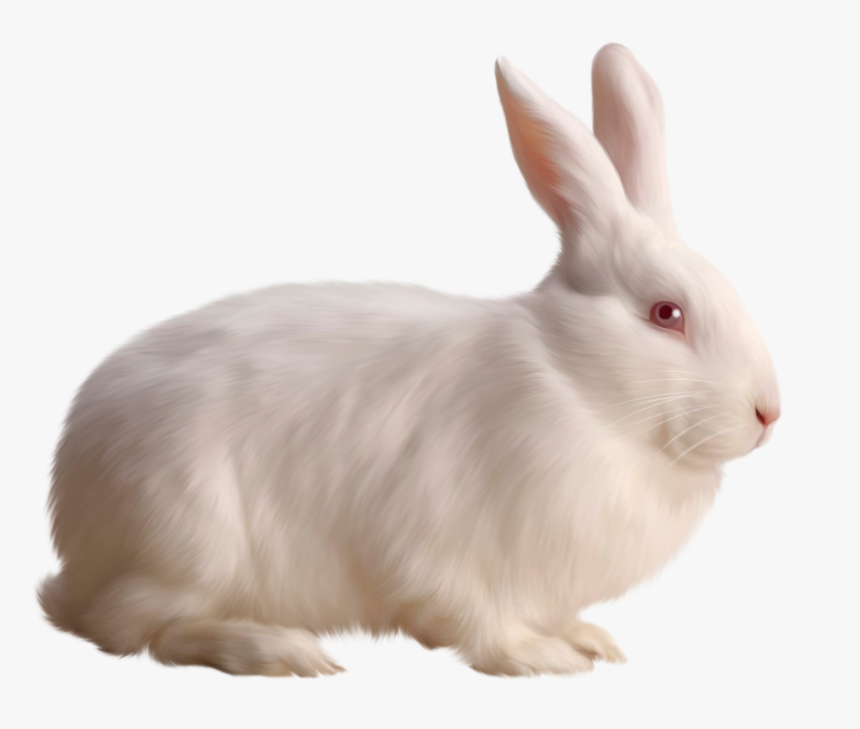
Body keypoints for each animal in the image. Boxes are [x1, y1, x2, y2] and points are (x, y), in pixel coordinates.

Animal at [38, 44, 779, 677]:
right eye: (667, 314)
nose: (768, 413)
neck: (577, 385)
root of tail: (74, 531)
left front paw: (587, 637)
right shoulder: (443, 545)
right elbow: (475, 619)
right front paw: (541, 657)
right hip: (191, 540)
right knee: (136, 629)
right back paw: (278, 648)